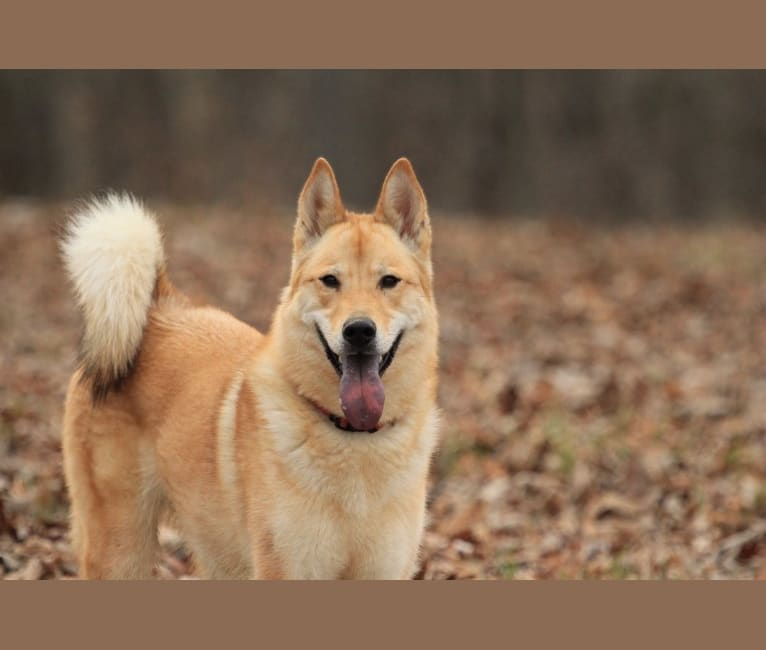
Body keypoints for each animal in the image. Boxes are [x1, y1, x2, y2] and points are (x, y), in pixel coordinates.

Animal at [60, 157, 440, 576]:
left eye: (389, 281)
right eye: (329, 280)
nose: (359, 330)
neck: (352, 439)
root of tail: (157, 308)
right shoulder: (286, 569)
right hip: (122, 550)